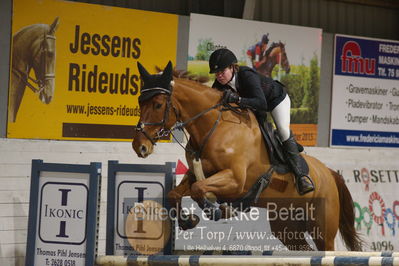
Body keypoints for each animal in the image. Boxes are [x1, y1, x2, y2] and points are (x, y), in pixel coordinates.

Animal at [132, 61, 362, 250]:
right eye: (140, 102)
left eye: (158, 104)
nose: (139, 147)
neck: (214, 127)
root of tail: (330, 173)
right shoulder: (198, 172)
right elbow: (176, 193)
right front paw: (190, 220)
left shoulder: (236, 180)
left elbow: (199, 190)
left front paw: (218, 210)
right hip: (287, 227)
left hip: (322, 230)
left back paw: (304, 182)